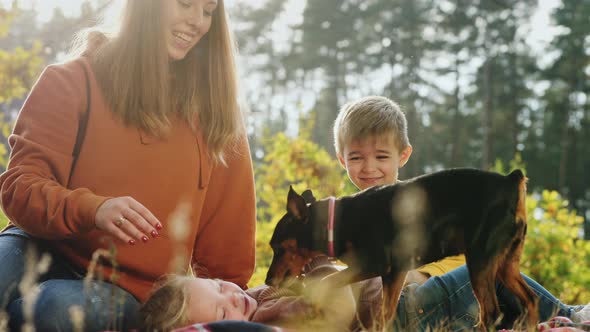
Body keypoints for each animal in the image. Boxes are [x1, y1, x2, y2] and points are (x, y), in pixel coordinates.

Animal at [268, 169, 540, 330]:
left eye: (277, 247)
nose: (268, 280)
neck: (336, 223)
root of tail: (510, 182)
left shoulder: (373, 264)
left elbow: (327, 281)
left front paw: (314, 302)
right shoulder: (395, 273)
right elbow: (384, 315)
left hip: (480, 259)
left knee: (491, 313)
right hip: (505, 262)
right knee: (530, 299)